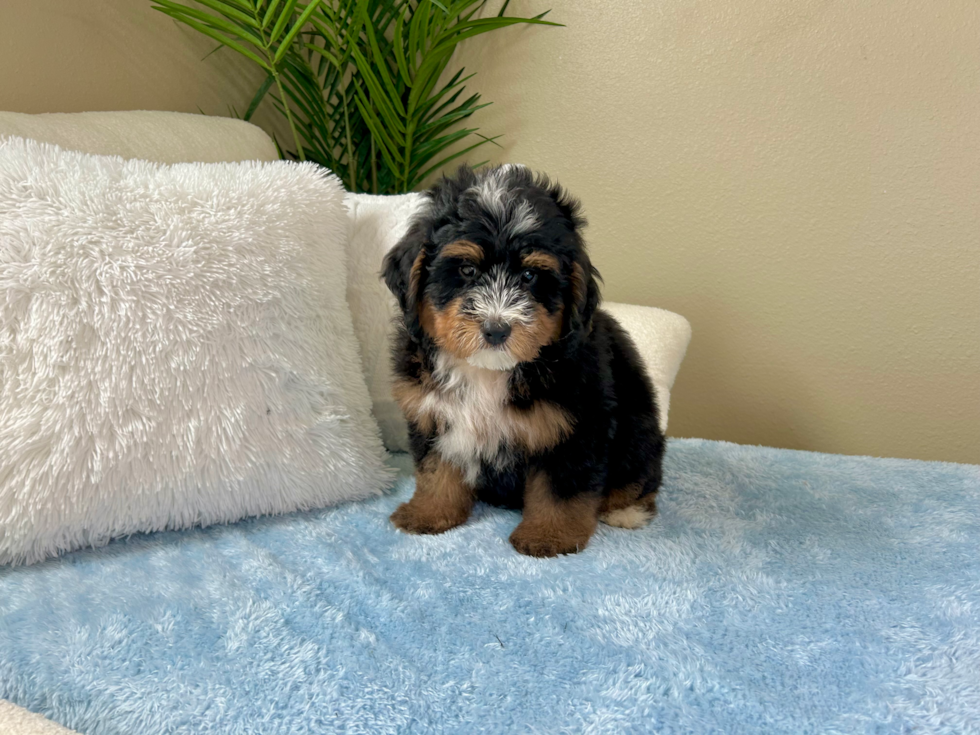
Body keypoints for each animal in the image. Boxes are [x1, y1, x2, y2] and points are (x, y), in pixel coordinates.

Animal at [378, 165, 664, 556]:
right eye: (467, 270)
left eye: (529, 276)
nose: (496, 329)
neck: (487, 370)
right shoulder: (433, 413)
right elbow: (436, 469)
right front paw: (429, 512)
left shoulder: (575, 427)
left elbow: (561, 487)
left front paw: (549, 536)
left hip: (640, 431)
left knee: (641, 476)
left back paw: (626, 510)